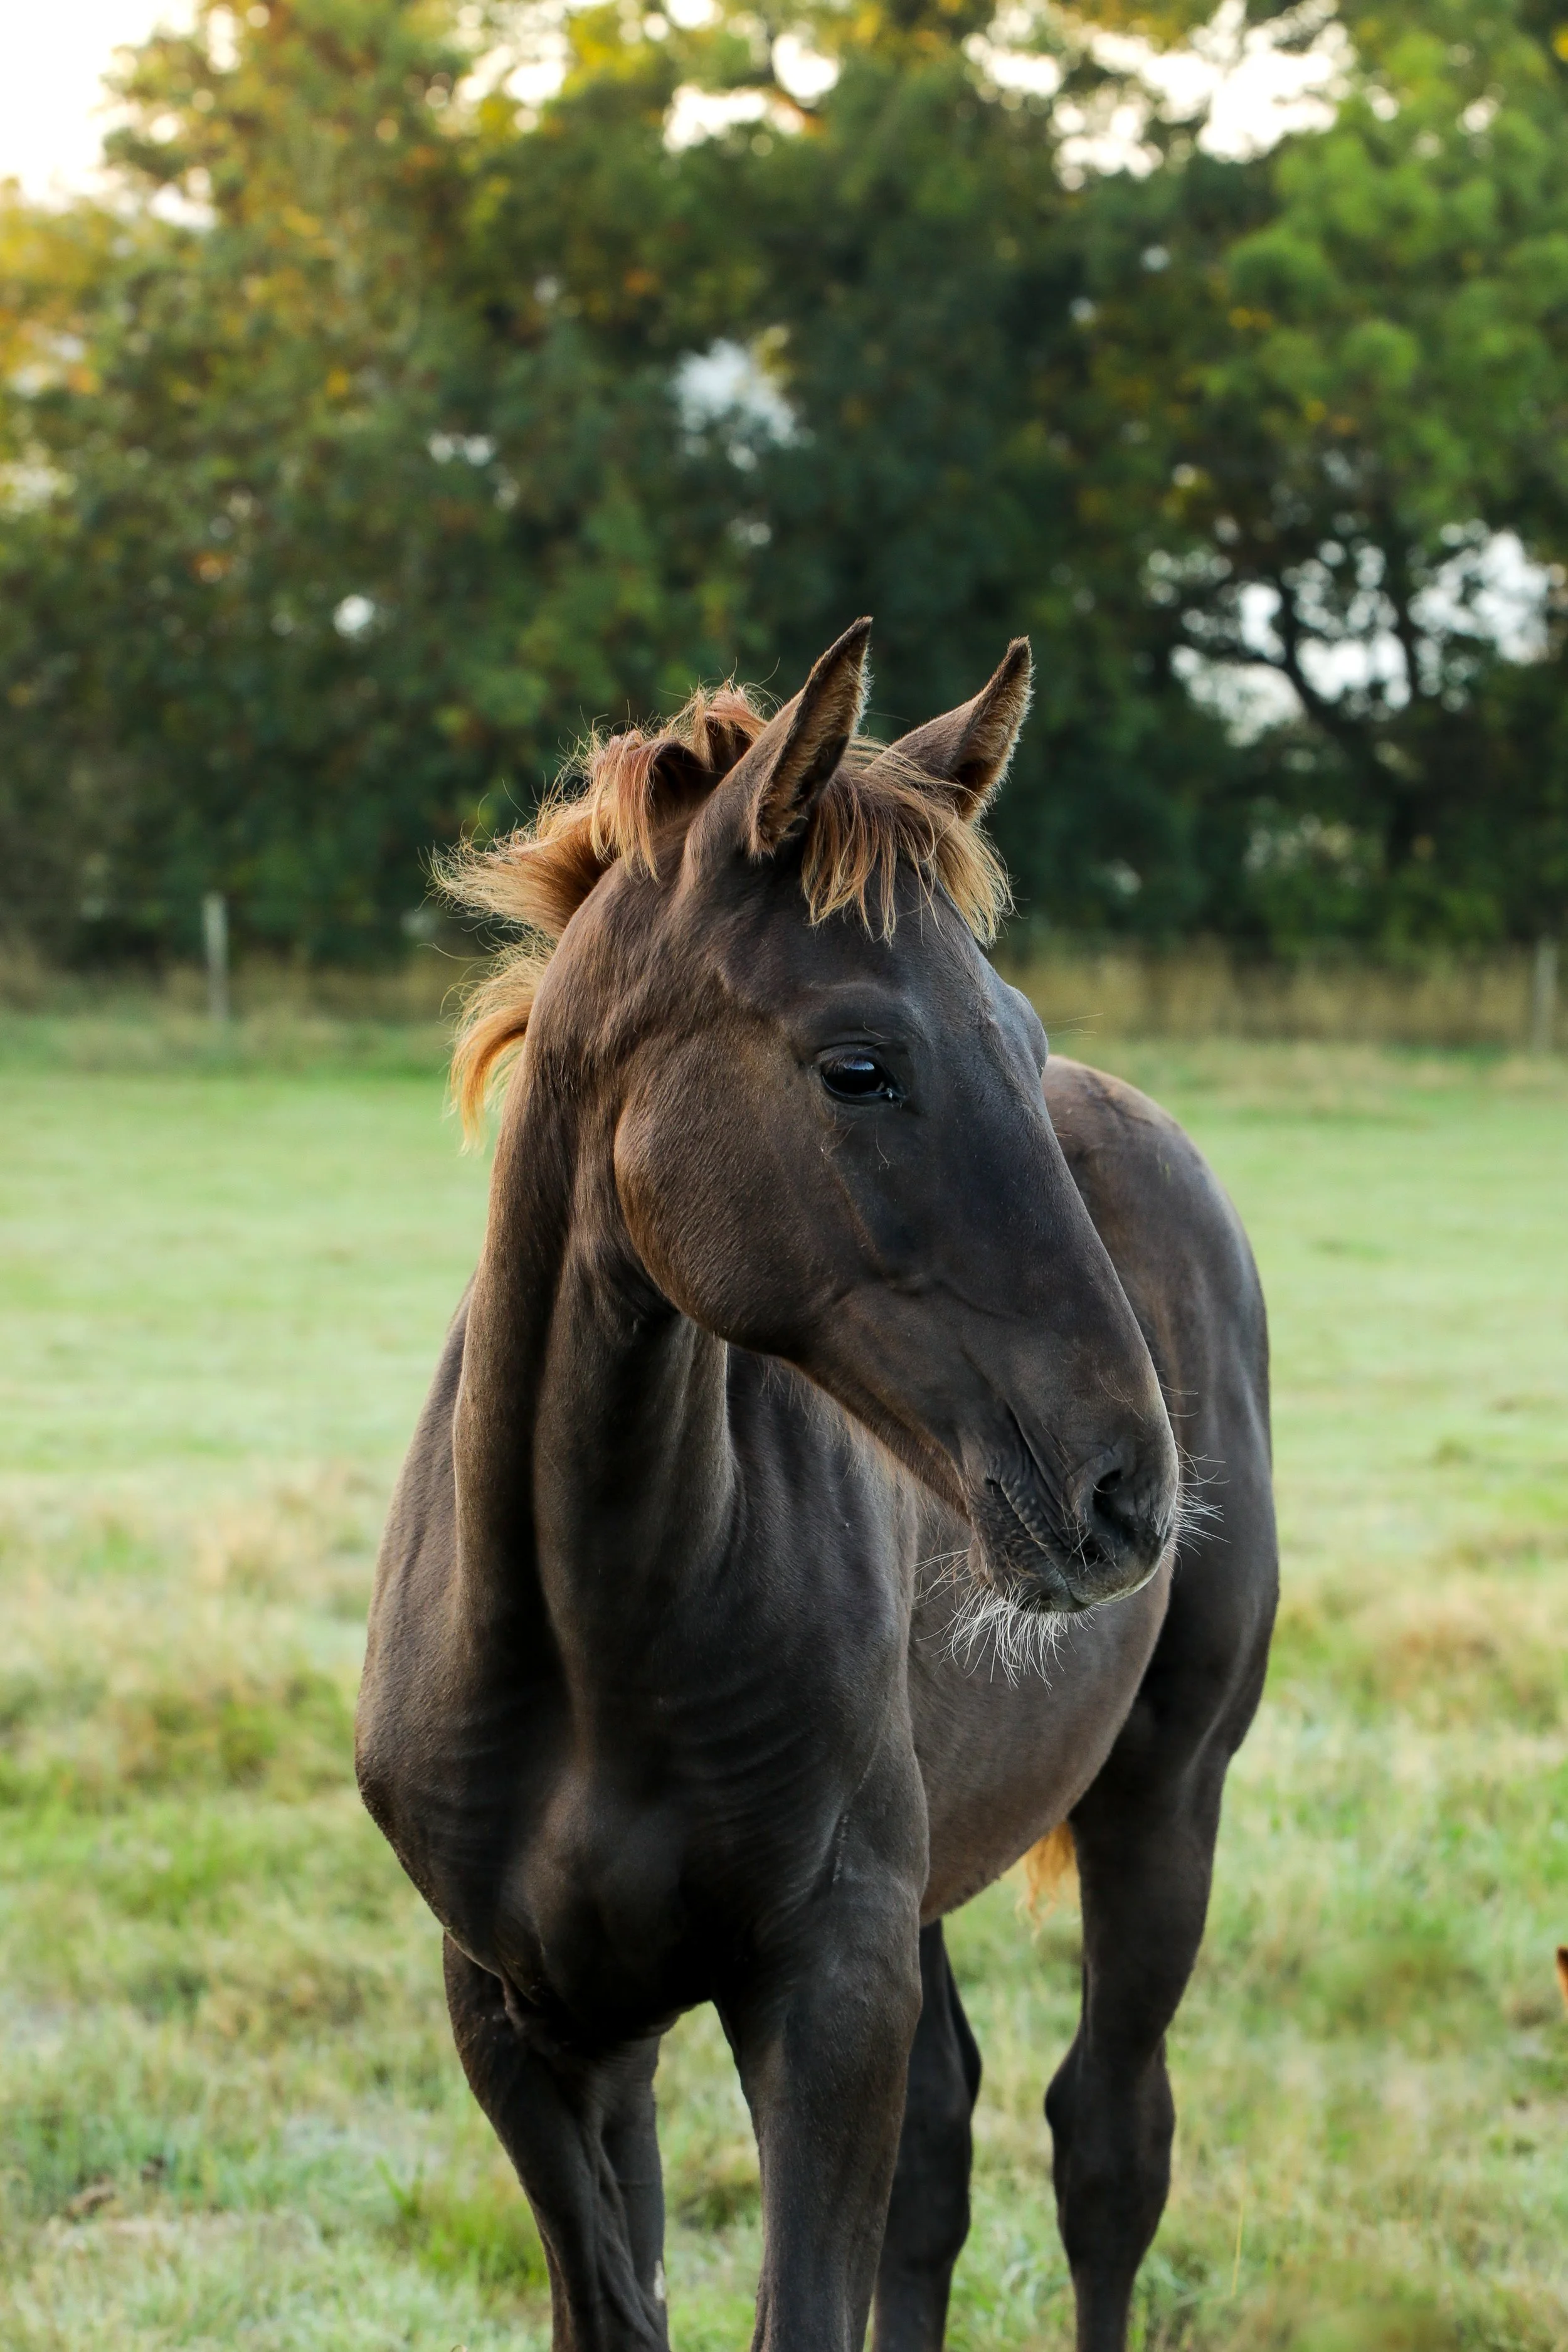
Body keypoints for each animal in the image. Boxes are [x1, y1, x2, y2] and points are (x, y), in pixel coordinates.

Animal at [356, 619, 1277, 2352]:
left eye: (1018, 1041)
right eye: (860, 1066)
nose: (1127, 1487)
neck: (591, 1637)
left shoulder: (828, 1987)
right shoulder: (532, 2015)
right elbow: (617, 2301)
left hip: (1166, 1788)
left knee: (1107, 2145)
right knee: (945, 2145)